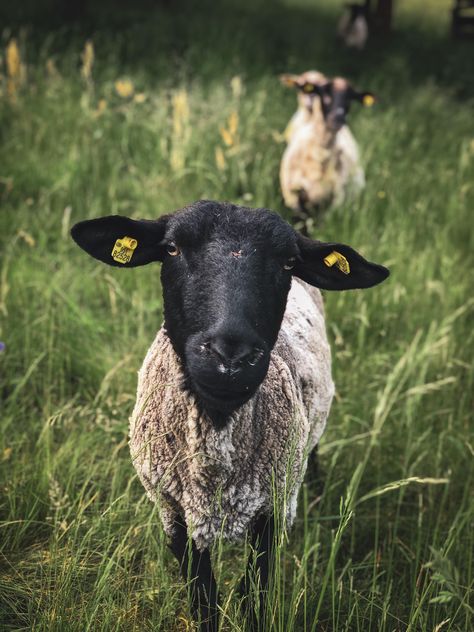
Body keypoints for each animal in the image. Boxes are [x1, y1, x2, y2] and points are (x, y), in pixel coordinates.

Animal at [71, 201, 388, 632]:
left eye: (288, 262)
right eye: (171, 248)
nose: (231, 356)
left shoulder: (271, 509)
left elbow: (254, 594)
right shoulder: (172, 511)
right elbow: (204, 598)